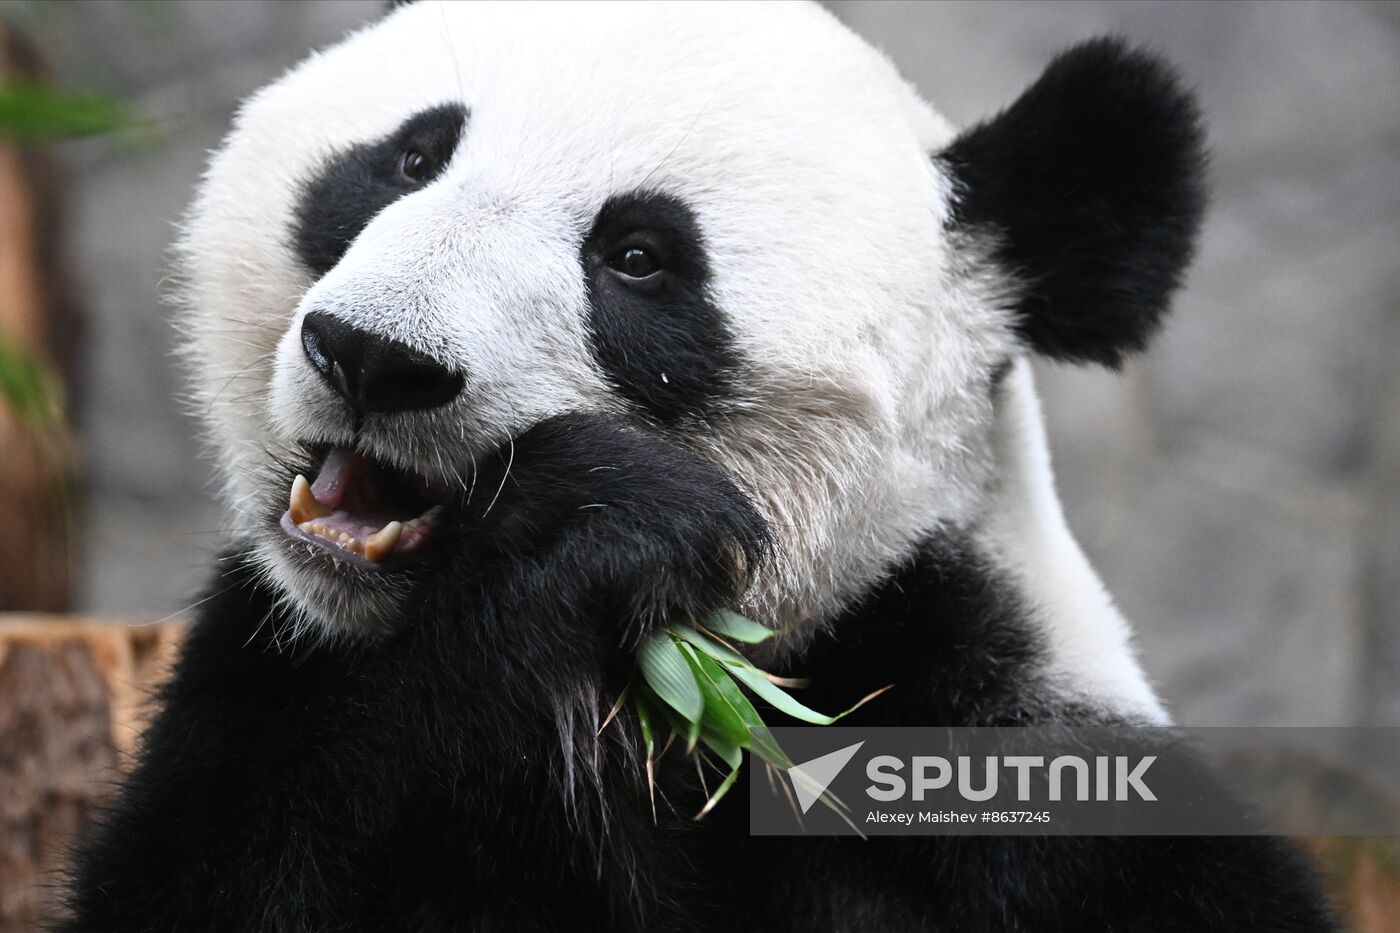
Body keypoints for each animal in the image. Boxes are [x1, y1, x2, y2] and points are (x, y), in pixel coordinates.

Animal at [63, 1, 1332, 930]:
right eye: (409, 159)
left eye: (637, 256)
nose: (375, 356)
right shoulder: (277, 672)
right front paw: (580, 528)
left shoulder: (1023, 764)